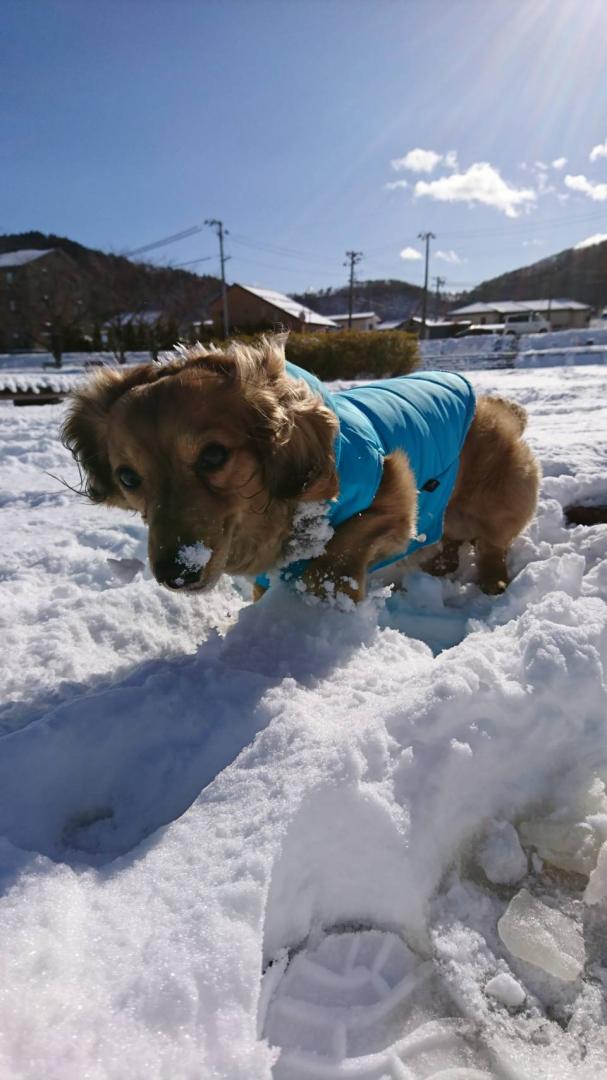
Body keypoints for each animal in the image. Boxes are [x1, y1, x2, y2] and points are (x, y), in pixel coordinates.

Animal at [61, 334, 537, 600]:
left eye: (214, 455)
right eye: (128, 477)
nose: (175, 575)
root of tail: (499, 407)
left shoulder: (395, 496)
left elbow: (342, 544)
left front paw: (328, 590)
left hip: (497, 507)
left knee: (491, 548)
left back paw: (492, 585)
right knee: (451, 542)